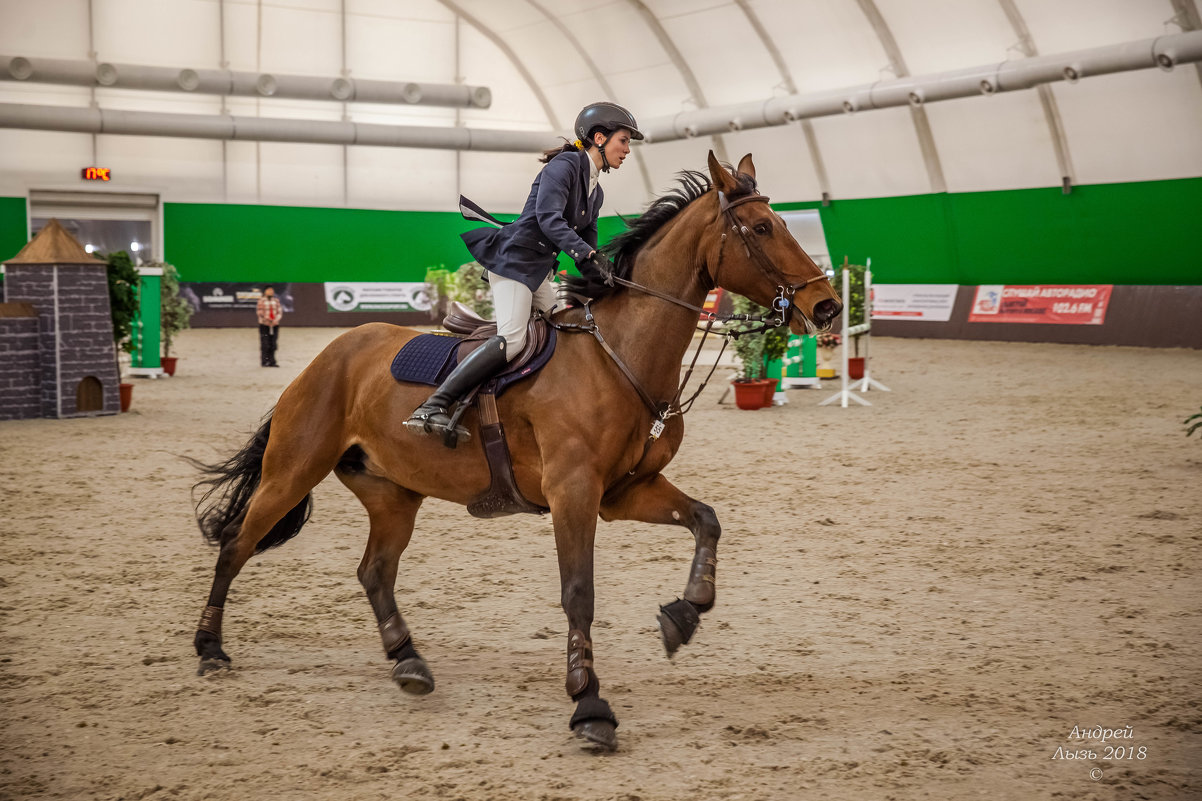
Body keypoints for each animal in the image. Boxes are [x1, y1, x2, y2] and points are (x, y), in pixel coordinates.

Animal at [192, 149, 841, 750]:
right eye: (762, 228)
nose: (828, 307)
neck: (620, 353)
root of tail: (328, 355)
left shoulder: (625, 491)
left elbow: (706, 520)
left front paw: (684, 614)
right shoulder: (573, 493)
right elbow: (579, 593)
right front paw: (589, 703)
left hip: (392, 492)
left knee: (374, 571)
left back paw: (408, 661)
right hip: (294, 470)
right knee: (236, 545)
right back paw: (210, 647)